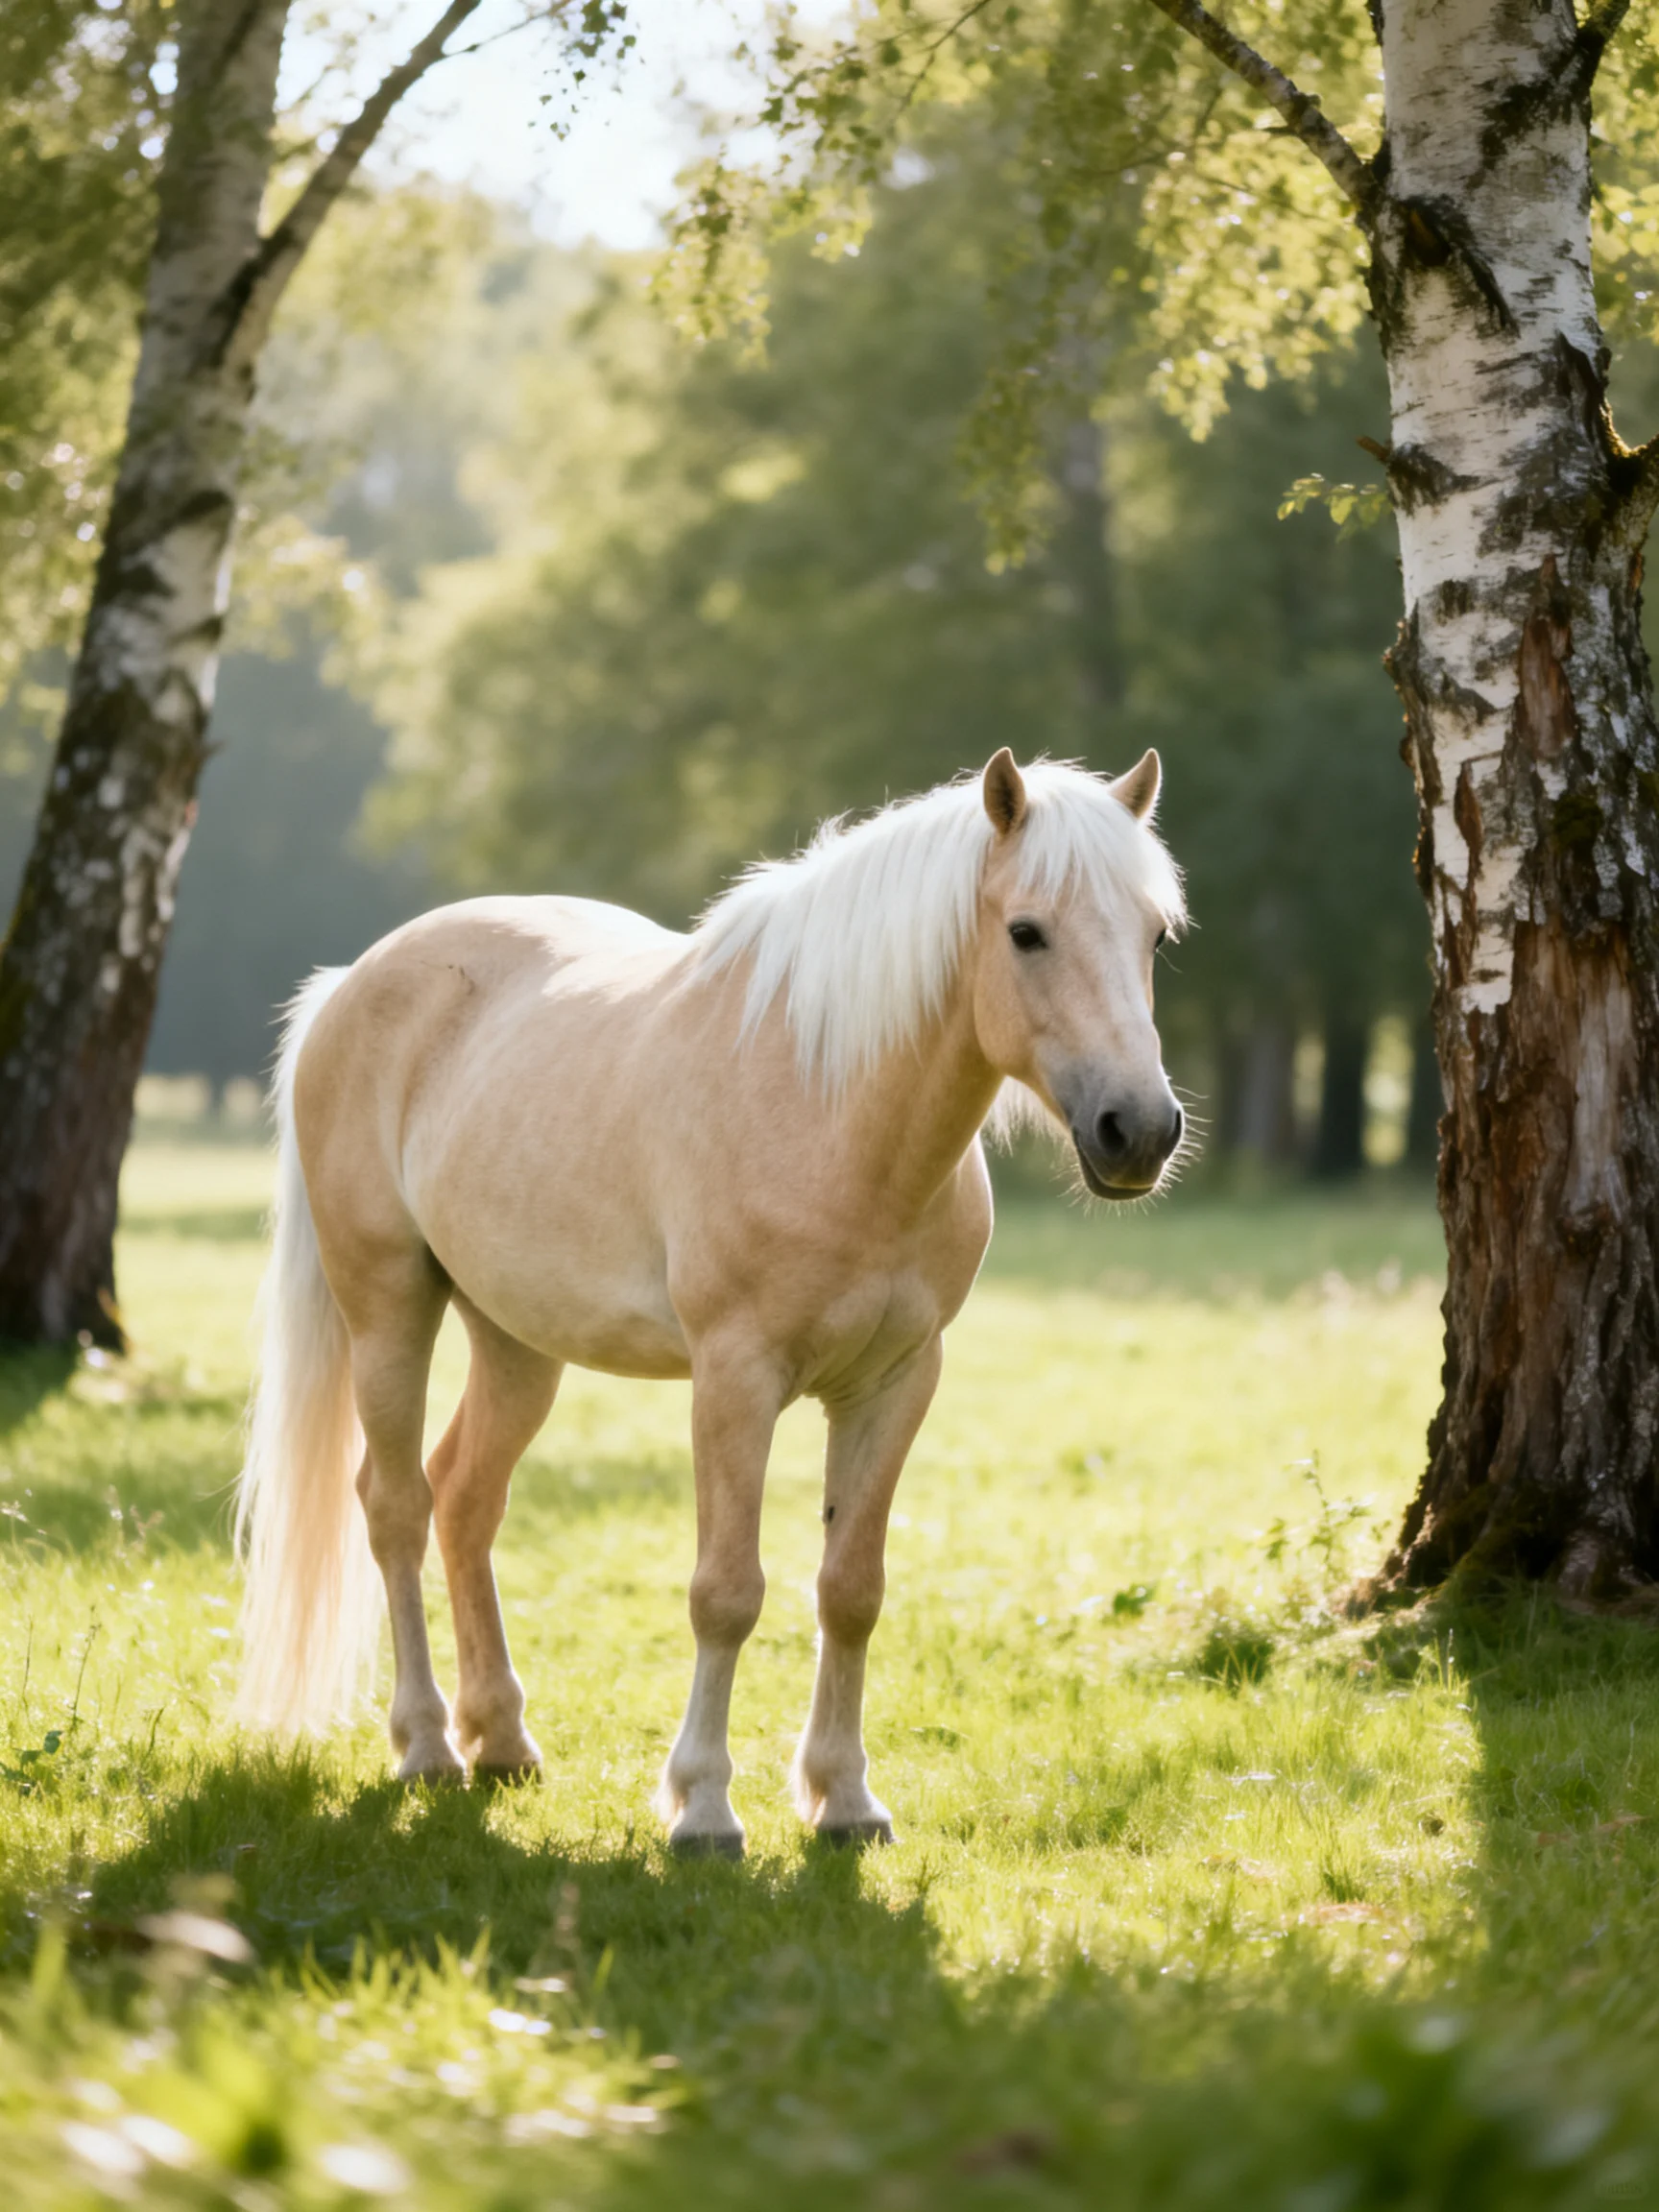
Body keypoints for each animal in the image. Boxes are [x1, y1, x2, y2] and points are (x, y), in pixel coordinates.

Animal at [235, 748, 1187, 1854]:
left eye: (1155, 935)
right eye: (1026, 931)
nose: (1139, 1130)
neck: (831, 1108)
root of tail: (351, 984)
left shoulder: (897, 1382)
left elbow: (851, 1590)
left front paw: (845, 1800)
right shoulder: (735, 1379)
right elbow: (727, 1593)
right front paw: (703, 1809)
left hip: (517, 1342)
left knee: (466, 1498)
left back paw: (502, 1739)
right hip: (389, 1310)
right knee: (395, 1508)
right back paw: (427, 1745)